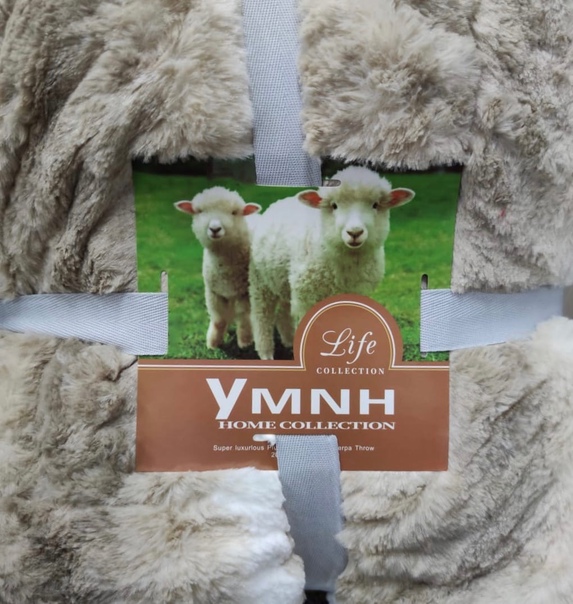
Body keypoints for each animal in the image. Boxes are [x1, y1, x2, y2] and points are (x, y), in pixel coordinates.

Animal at [175, 187, 261, 350]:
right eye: (200, 211)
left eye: (234, 212)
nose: (215, 229)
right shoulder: (213, 292)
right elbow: (219, 320)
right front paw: (213, 343)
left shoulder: (245, 292)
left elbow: (244, 318)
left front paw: (245, 342)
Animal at [249, 166, 415, 360]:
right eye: (334, 206)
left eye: (375, 205)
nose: (355, 232)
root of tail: (281, 201)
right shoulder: (307, 297)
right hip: (260, 281)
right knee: (261, 315)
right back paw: (266, 353)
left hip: (284, 280)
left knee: (283, 310)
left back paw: (288, 342)